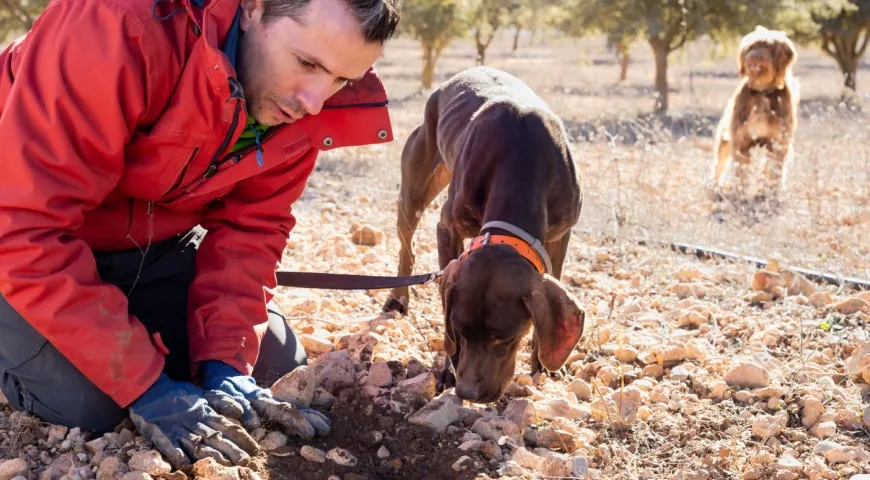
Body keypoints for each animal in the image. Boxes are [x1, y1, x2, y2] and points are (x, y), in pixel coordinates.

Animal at [384, 65, 584, 404]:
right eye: (460, 331)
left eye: (506, 338)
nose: (468, 392)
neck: (521, 162)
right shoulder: (447, 230)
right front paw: (448, 369)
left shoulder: (560, 236)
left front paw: (542, 364)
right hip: (413, 193)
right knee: (406, 249)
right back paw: (397, 298)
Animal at [712, 25, 800, 195]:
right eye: (752, 47)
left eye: (768, 47)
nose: (754, 56)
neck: (762, 91)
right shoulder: (741, 140)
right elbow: (741, 170)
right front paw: (740, 192)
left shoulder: (778, 142)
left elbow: (773, 169)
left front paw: (771, 192)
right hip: (724, 139)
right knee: (719, 163)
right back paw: (714, 186)